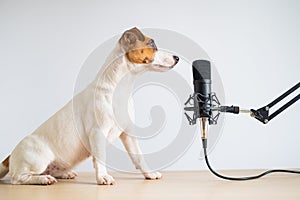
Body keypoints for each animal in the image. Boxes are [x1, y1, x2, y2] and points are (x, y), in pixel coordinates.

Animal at [0, 27, 178, 185]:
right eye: (152, 43)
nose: (177, 57)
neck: (120, 87)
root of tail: (11, 155)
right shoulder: (98, 132)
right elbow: (101, 157)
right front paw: (103, 177)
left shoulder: (128, 133)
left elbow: (138, 156)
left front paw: (150, 174)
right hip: (39, 159)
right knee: (18, 178)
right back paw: (43, 179)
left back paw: (64, 174)